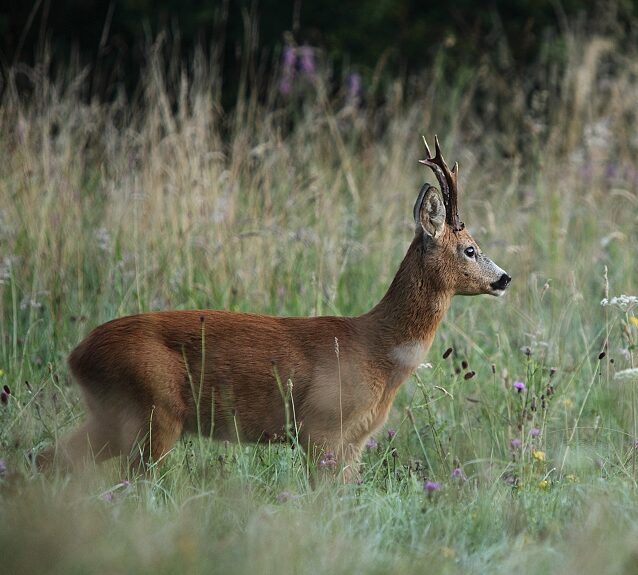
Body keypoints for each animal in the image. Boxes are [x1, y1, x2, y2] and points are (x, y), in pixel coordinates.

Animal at [38, 138, 510, 482]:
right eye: (470, 249)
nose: (504, 278)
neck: (378, 349)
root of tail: (77, 355)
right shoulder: (322, 427)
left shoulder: (355, 440)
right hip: (152, 410)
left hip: (115, 414)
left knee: (49, 457)